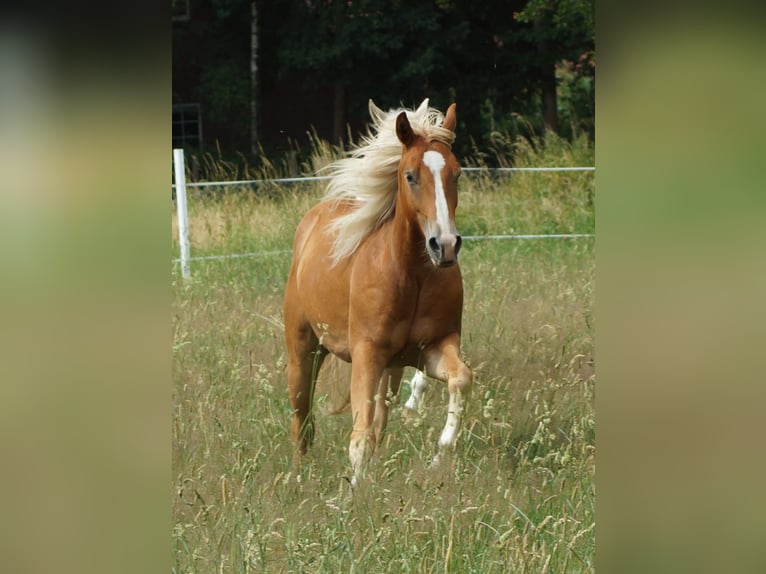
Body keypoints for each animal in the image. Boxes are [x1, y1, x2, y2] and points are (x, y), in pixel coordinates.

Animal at [283, 99, 472, 486]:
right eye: (410, 175)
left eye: (457, 173)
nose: (445, 245)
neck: (411, 277)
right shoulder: (366, 355)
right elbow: (360, 435)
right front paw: (354, 493)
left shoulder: (432, 349)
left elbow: (460, 379)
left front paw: (440, 455)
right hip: (303, 351)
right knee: (302, 419)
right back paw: (295, 480)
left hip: (388, 369)